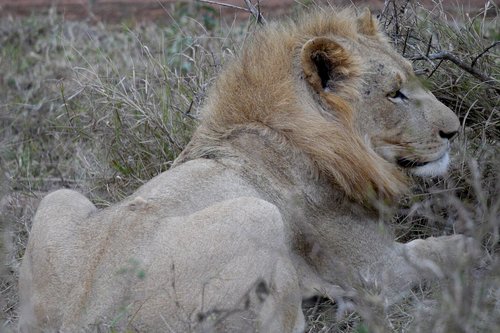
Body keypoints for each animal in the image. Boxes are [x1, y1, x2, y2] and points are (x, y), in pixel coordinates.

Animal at [19, 7, 472, 332]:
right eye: (394, 93)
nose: (454, 130)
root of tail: (82, 319)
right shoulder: (376, 271)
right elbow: (452, 250)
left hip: (59, 197)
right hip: (258, 212)